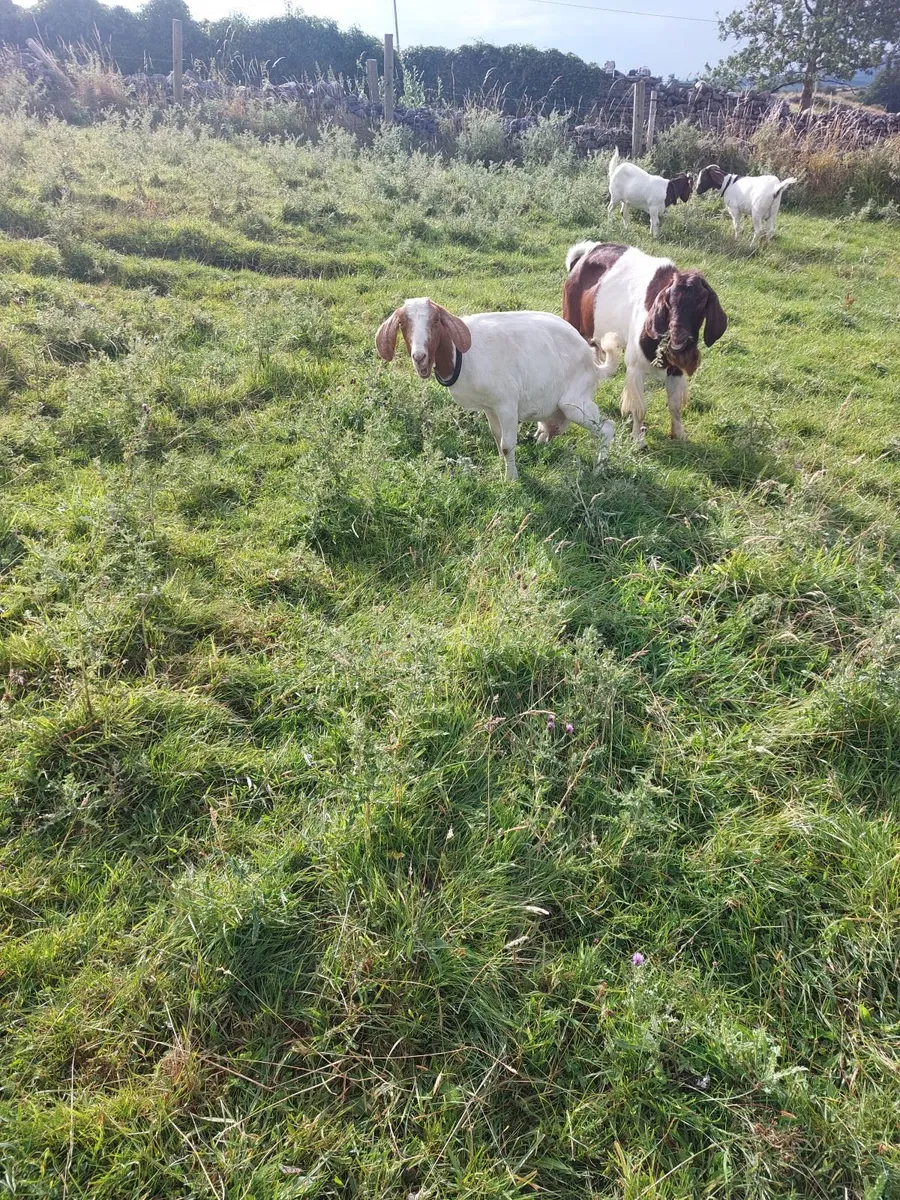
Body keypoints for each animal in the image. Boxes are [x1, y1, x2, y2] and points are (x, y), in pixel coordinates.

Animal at [375, 298, 620, 481]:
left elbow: (507, 445)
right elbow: (497, 437)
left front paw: (511, 479)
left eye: (435, 320)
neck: (460, 356)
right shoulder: (490, 407)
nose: (420, 357)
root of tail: (593, 363)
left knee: (607, 427)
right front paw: (504, 467)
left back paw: (599, 469)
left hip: (574, 402)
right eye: (402, 323)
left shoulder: (507, 404)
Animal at [563, 241, 727, 448]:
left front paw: (679, 434)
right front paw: (638, 441)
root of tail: (587, 252)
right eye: (669, 301)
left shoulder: (676, 371)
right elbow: (639, 408)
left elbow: (675, 405)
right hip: (571, 321)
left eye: (702, 303)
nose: (678, 342)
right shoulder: (636, 366)